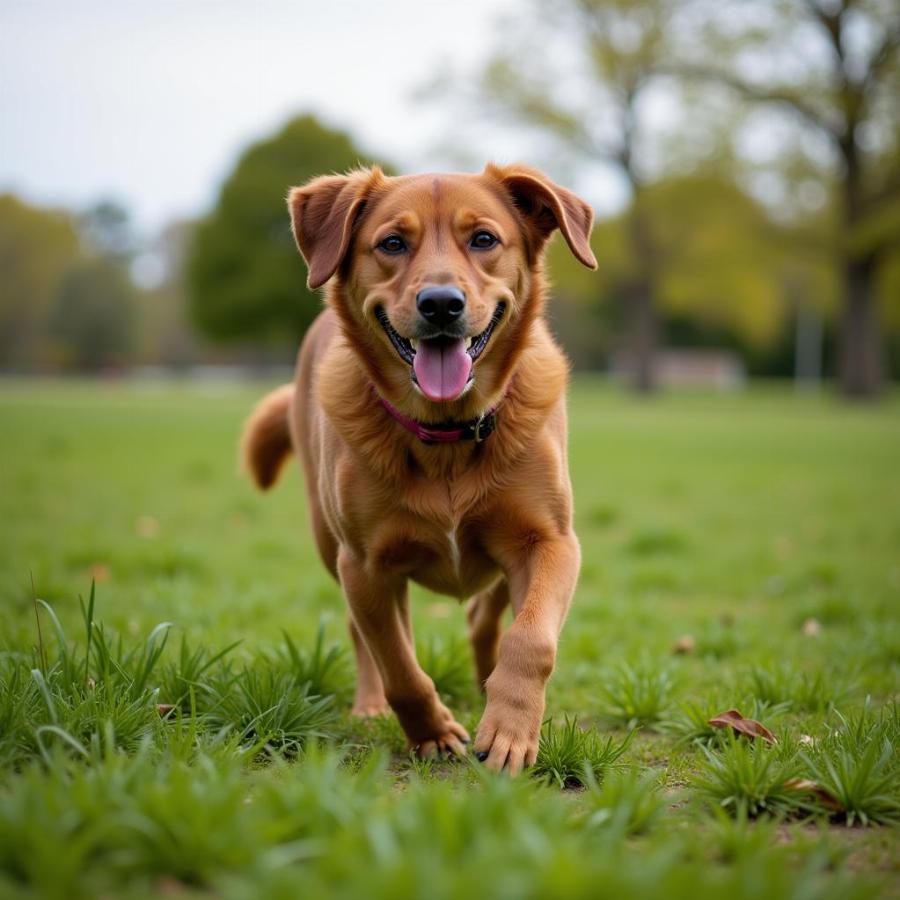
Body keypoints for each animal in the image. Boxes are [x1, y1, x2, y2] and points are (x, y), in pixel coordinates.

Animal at [241, 163, 596, 772]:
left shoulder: (550, 541)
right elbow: (399, 664)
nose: (441, 304)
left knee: (487, 617)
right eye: (392, 243)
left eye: (484, 239)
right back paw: (371, 706)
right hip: (331, 544)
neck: (447, 431)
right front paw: (432, 733)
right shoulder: (365, 564)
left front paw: (509, 729)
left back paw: (486, 680)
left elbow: (531, 640)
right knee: (371, 637)